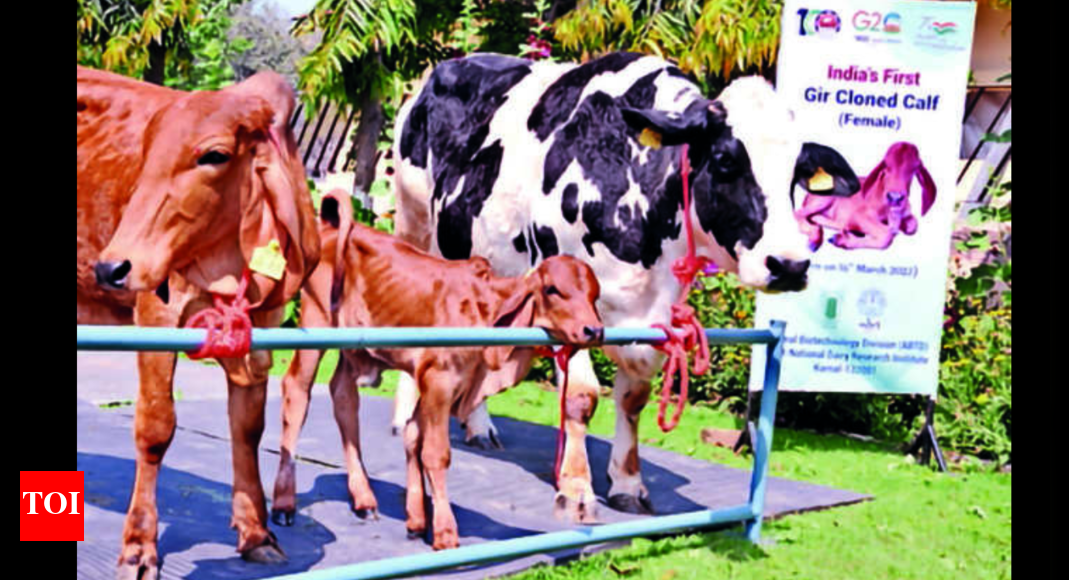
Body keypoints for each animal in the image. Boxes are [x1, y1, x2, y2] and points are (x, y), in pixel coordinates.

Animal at [77, 65, 320, 577]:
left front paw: (256, 531)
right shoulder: (155, 314)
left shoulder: (260, 334)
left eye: (214, 155)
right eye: (145, 153)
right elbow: (156, 427)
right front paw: (139, 546)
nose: (111, 268)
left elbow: (248, 428)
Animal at [270, 189, 604, 549]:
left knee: (344, 397)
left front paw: (417, 520)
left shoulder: (439, 383)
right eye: (553, 289)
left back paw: (364, 498)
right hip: (315, 322)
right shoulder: (439, 380)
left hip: (353, 349)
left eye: (594, 295)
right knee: (297, 391)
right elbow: (435, 453)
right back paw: (284, 504)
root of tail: (335, 226)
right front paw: (444, 532)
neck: (484, 311)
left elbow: (413, 437)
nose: (594, 330)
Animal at [389, 52, 860, 522]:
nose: (790, 264)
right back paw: (404, 416)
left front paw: (628, 484)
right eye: (726, 159)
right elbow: (581, 397)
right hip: (413, 222)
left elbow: (634, 399)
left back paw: (480, 426)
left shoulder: (655, 319)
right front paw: (576, 489)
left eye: (797, 175)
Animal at [795, 141, 935, 250]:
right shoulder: (858, 215)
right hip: (824, 199)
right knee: (799, 213)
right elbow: (886, 235)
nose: (895, 197)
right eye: (886, 165)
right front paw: (841, 239)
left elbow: (913, 226)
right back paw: (816, 237)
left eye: (915, 167)